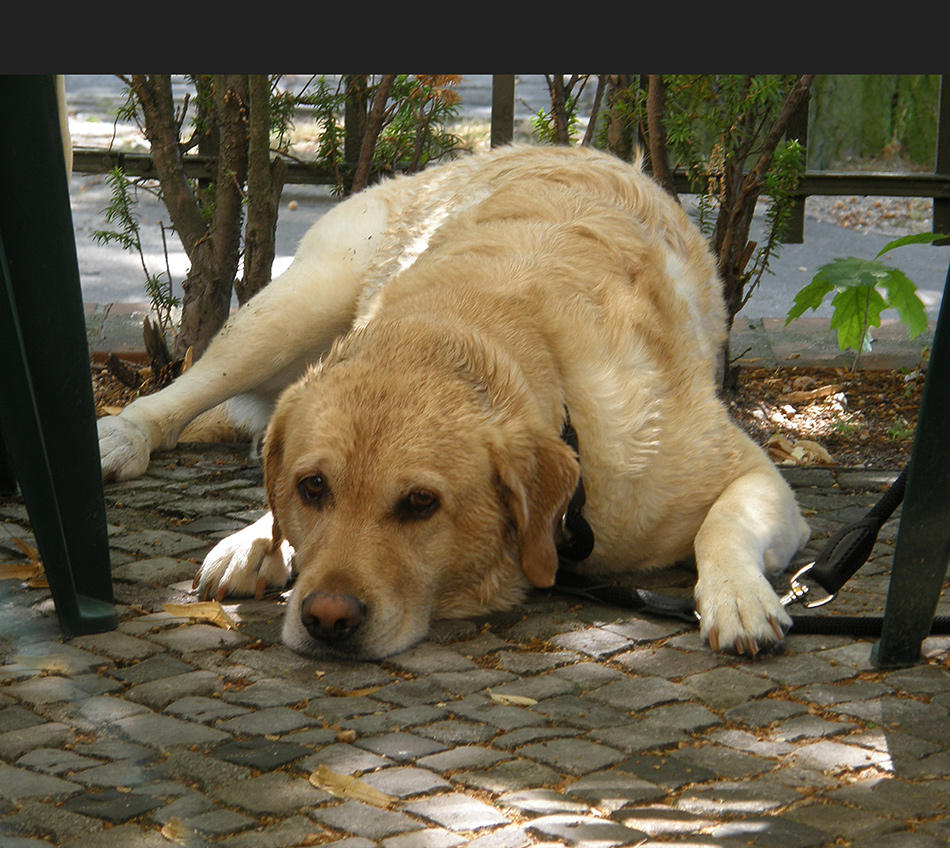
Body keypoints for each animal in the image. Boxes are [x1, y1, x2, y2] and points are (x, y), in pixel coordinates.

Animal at [98, 144, 812, 664]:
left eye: (421, 504)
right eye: (314, 487)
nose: (327, 618)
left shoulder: (745, 473)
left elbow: (724, 522)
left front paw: (737, 596)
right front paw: (260, 540)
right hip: (299, 303)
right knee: (184, 394)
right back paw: (134, 448)